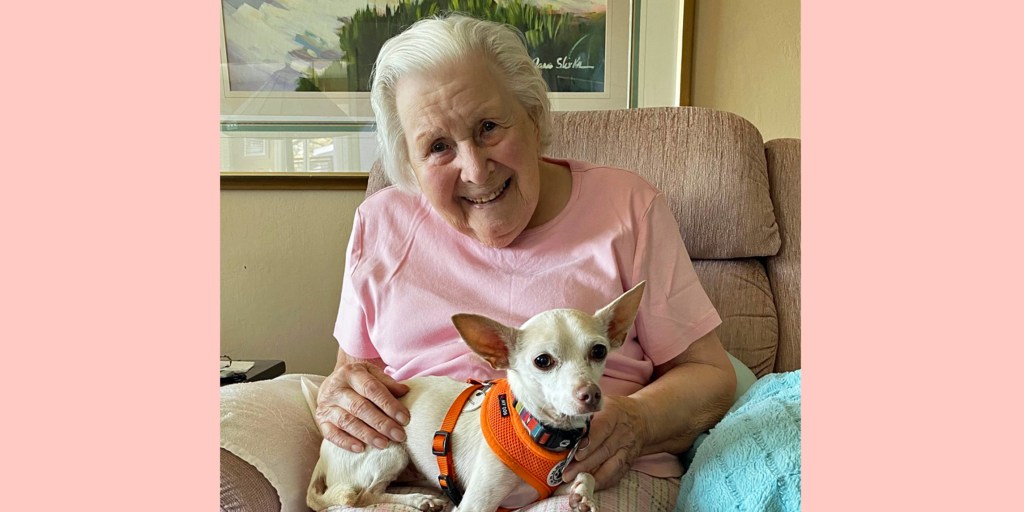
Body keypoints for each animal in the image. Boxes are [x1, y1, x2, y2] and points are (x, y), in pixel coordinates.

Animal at [299, 282, 643, 509]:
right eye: (542, 361)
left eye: (599, 351)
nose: (591, 394)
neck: (537, 430)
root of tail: (323, 453)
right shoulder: (477, 503)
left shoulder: (551, 486)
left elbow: (585, 474)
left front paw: (582, 494)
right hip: (390, 450)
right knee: (360, 495)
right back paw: (419, 500)